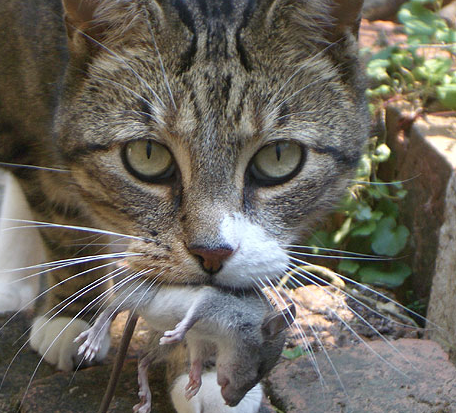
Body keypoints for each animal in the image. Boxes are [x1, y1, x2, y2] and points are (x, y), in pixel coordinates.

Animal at [0, 0, 366, 408]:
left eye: (279, 155)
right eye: (146, 154)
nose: (212, 253)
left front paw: (201, 371)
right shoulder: (22, 123)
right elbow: (62, 222)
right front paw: (69, 314)